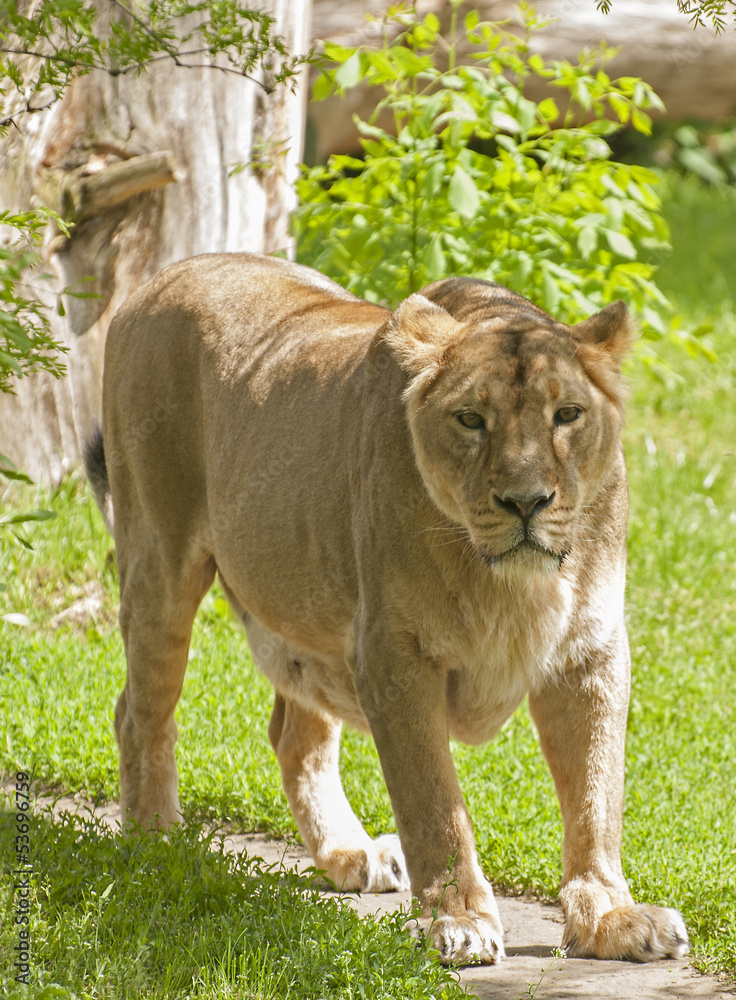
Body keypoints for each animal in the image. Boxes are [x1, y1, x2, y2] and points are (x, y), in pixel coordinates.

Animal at [85, 251, 688, 966]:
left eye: (566, 414)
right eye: (470, 420)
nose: (526, 502)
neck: (512, 583)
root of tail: (165, 275)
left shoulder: (590, 653)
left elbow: (597, 797)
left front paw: (610, 916)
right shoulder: (394, 655)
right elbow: (435, 803)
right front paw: (457, 919)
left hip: (306, 605)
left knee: (296, 738)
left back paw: (349, 853)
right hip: (161, 560)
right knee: (139, 711)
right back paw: (157, 844)